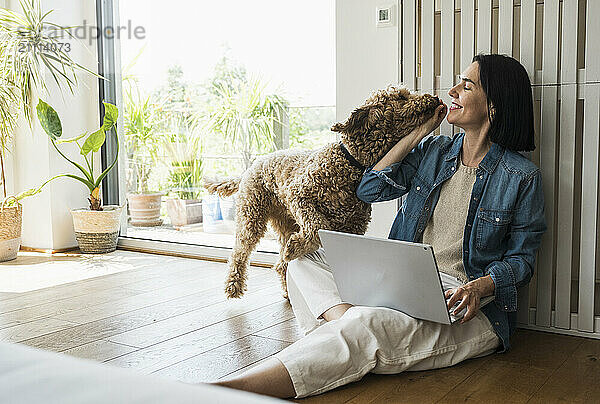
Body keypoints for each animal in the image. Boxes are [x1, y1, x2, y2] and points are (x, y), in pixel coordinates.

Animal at [204, 86, 442, 300]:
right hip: (252, 216)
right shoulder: (299, 195)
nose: (433, 97)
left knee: (280, 264)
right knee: (240, 252)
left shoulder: (353, 228)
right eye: (401, 96)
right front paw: (298, 247)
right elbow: (318, 226)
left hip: (285, 222)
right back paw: (233, 286)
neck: (351, 161)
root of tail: (252, 166)